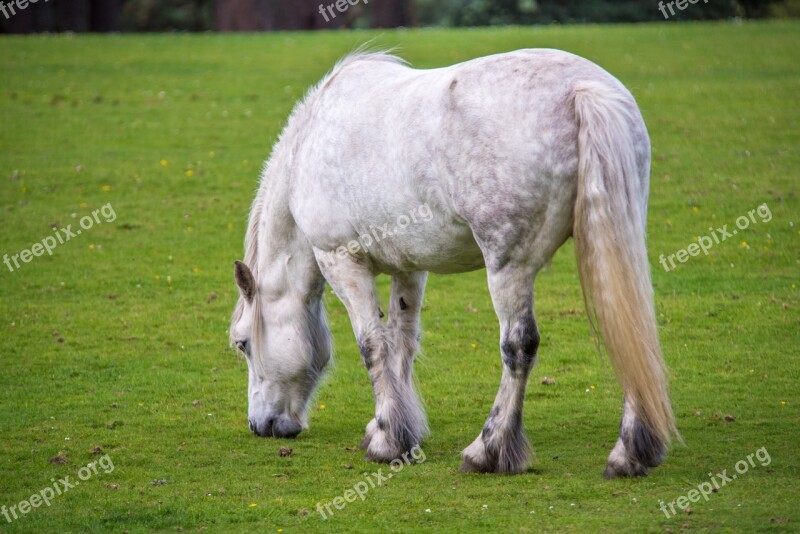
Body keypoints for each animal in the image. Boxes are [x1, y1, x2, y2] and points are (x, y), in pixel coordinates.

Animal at [228, 49, 680, 478]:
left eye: (242, 343)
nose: (260, 425)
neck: (311, 142)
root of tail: (581, 89)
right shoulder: (409, 268)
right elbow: (402, 341)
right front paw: (394, 428)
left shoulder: (342, 261)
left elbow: (372, 345)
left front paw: (387, 441)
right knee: (629, 329)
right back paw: (630, 453)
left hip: (509, 268)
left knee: (519, 346)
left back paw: (489, 450)